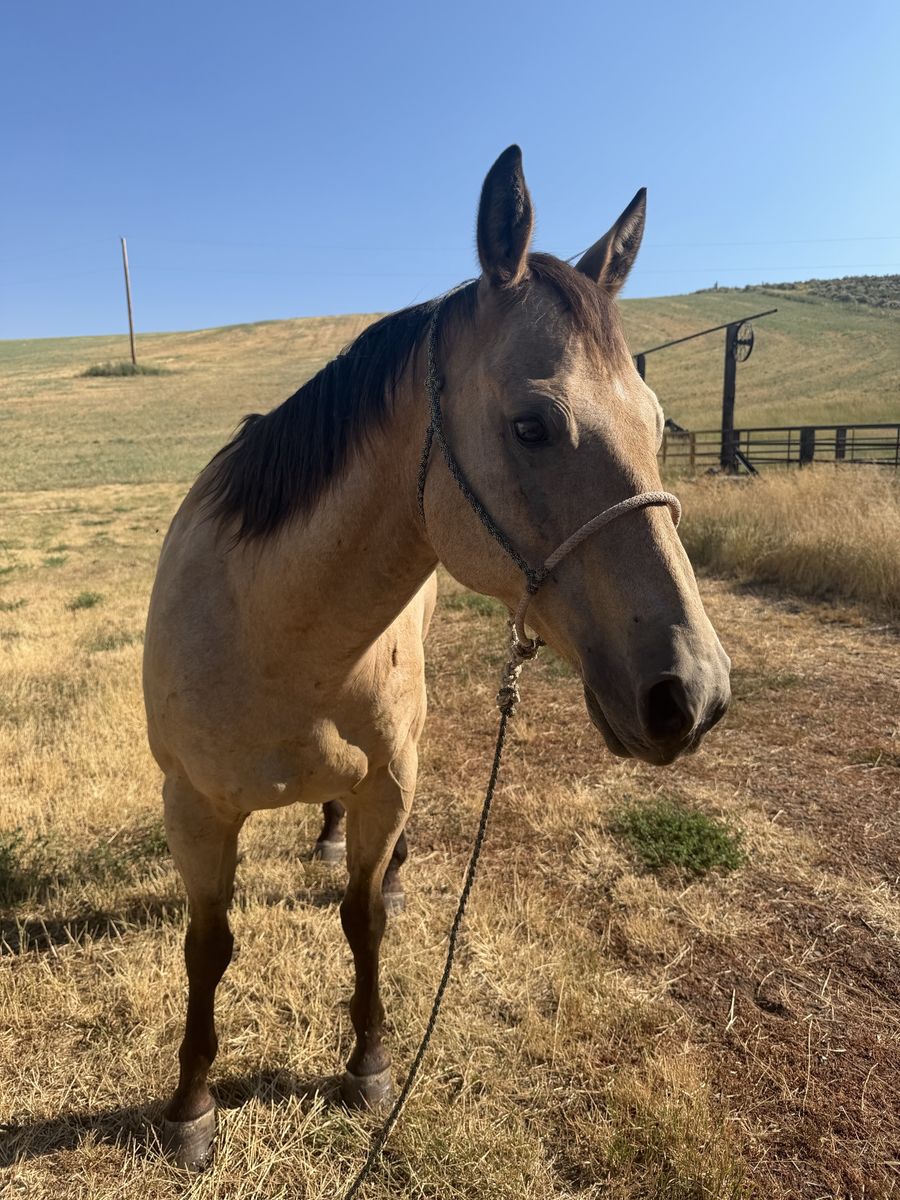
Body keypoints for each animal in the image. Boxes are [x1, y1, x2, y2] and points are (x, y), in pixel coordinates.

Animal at [142, 145, 731, 1168]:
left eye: (658, 425)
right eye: (532, 425)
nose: (691, 694)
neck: (275, 635)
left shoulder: (387, 781)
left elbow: (364, 918)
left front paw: (369, 1063)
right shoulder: (196, 810)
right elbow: (206, 948)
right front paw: (190, 1106)